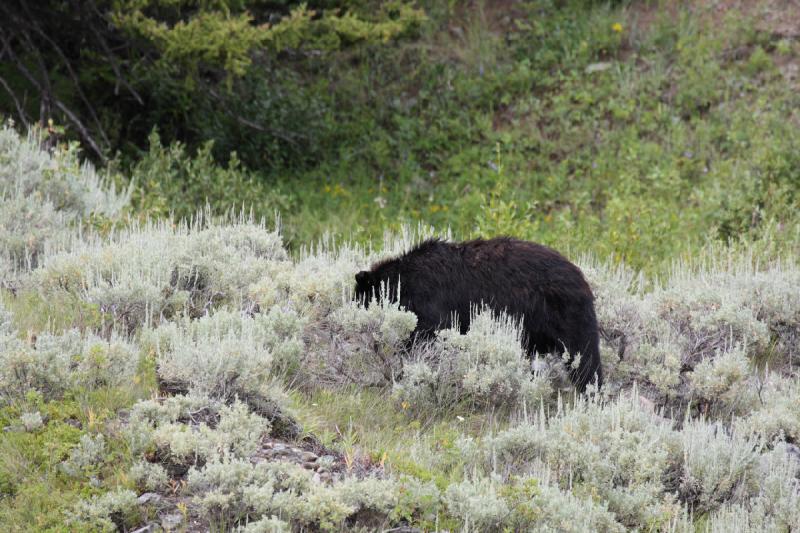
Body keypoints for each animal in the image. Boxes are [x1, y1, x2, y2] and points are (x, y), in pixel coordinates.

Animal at [354, 237, 604, 390]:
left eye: (358, 301)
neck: (403, 282)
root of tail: (581, 279)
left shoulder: (431, 304)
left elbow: (425, 336)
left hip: (566, 315)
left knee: (583, 354)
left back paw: (591, 391)